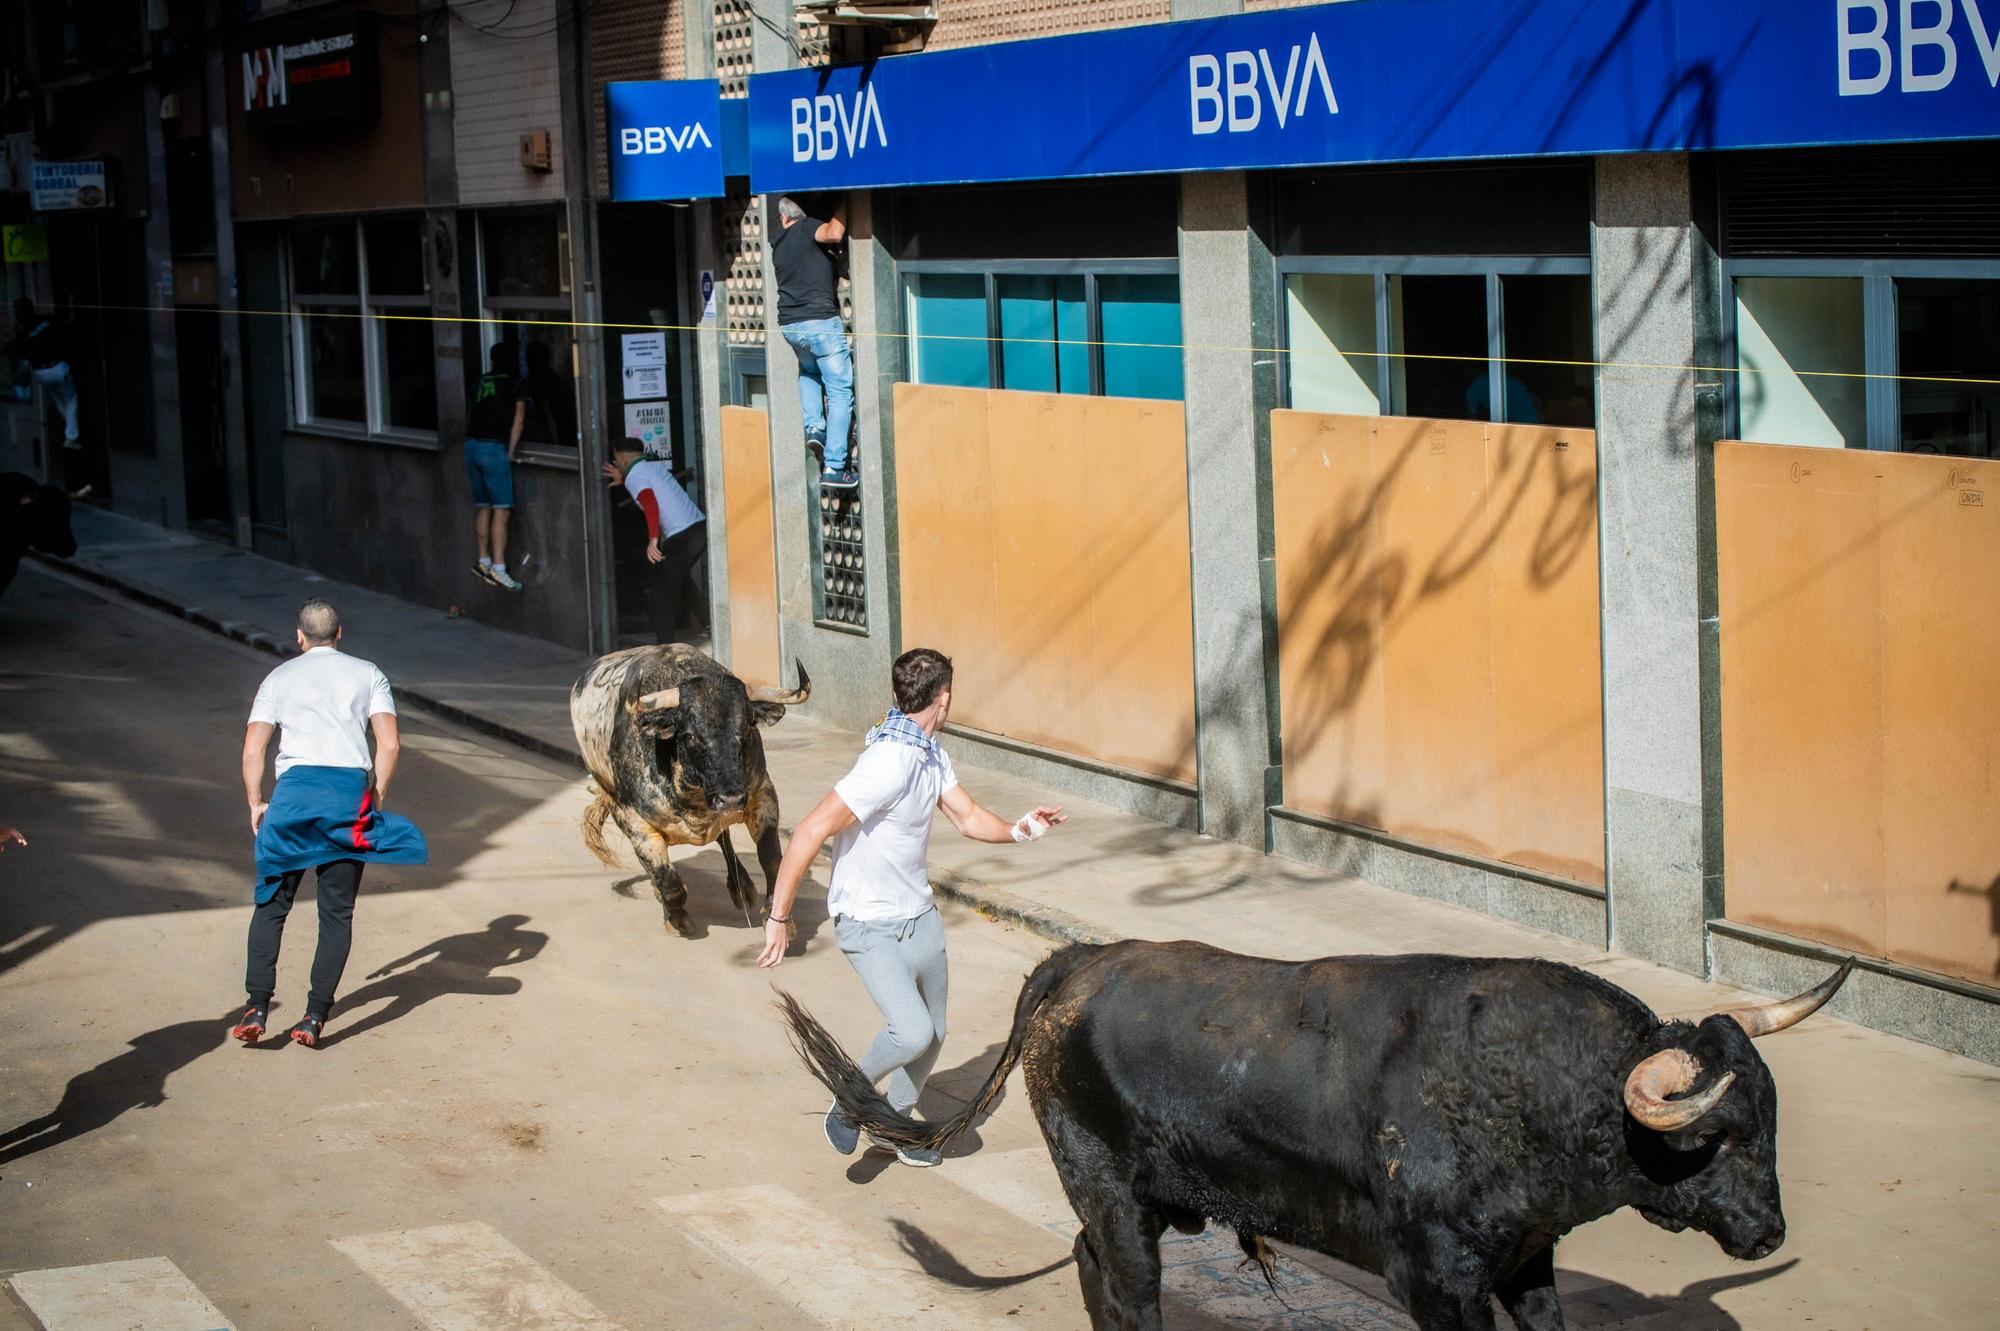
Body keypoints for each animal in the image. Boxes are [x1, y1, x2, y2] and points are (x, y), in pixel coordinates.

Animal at [568, 643, 808, 931]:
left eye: (748, 727)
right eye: (692, 735)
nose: (731, 798)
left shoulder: (762, 794)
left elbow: (771, 858)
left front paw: (778, 917)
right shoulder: (632, 818)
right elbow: (667, 879)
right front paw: (677, 918)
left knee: (724, 837)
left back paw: (741, 887)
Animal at [784, 931, 1856, 1327]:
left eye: (1770, 1121)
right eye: (1718, 1136)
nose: (1770, 1232)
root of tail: (1083, 958)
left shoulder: (1526, 1260)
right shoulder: (1436, 1281)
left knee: (1095, 1268)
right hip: (1109, 1187)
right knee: (1128, 1284)